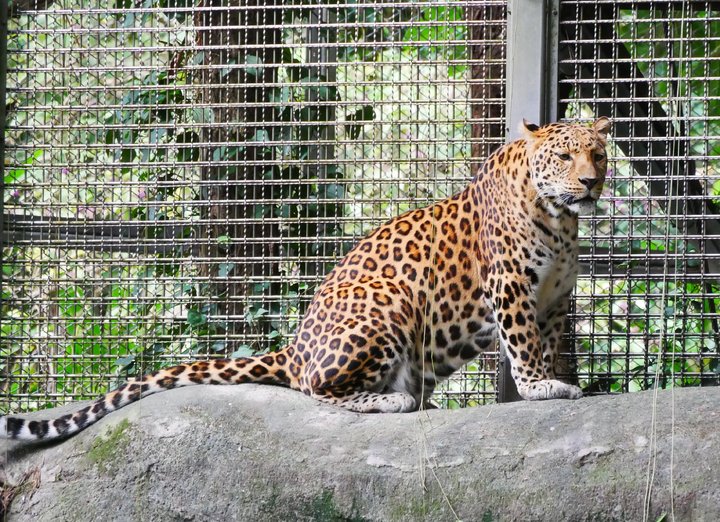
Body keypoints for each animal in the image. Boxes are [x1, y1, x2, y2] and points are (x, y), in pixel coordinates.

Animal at [0, 117, 612, 438]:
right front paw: (541, 388)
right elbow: (524, 345)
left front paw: (553, 380)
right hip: (387, 301)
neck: (560, 220)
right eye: (564, 157)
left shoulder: (554, 299)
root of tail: (293, 346)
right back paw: (394, 402)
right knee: (316, 390)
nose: (590, 183)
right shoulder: (511, 286)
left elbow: (547, 341)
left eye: (599, 155)